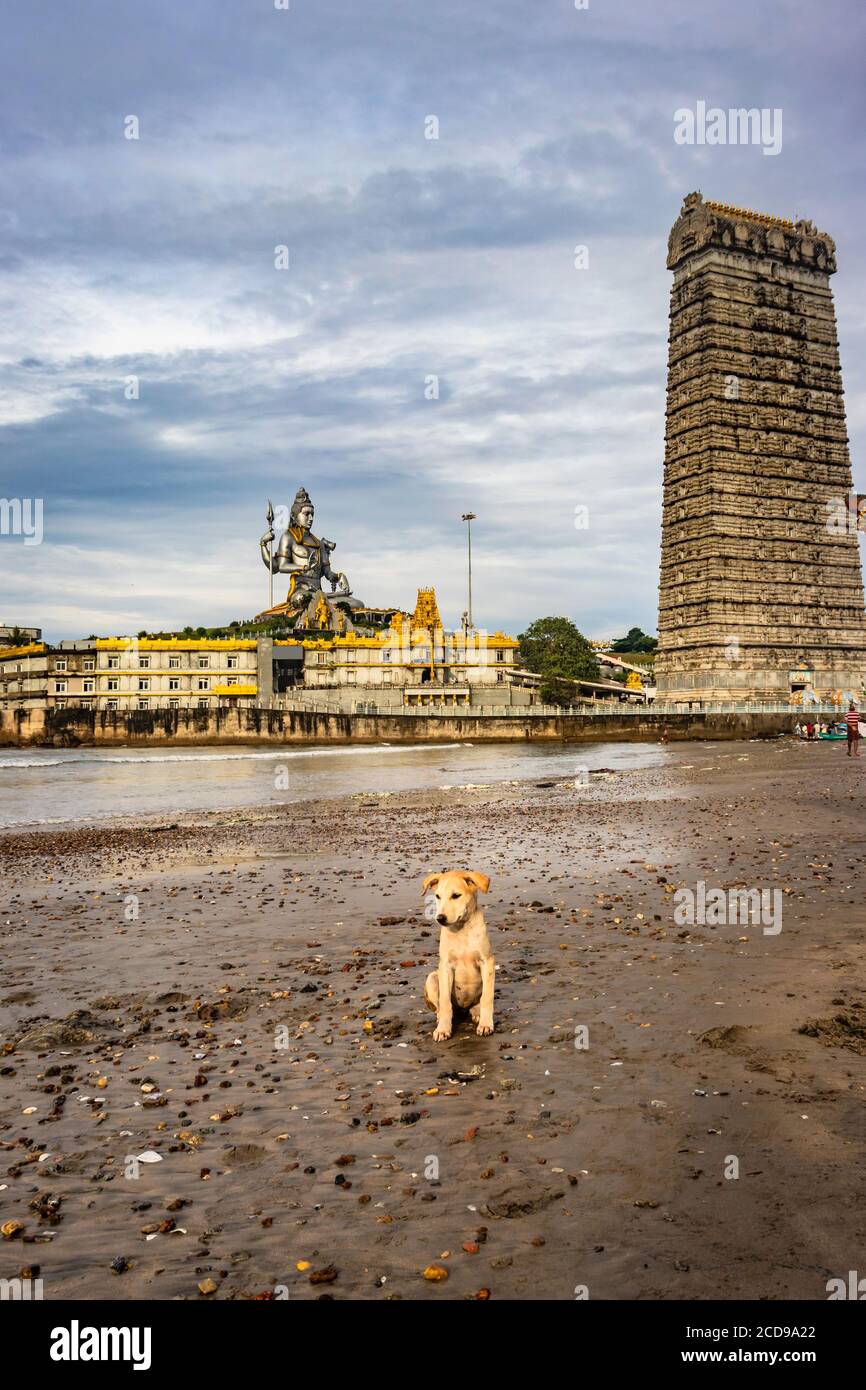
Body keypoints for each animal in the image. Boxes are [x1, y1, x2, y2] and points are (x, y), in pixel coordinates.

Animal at [425, 872, 497, 1039]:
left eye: (456, 895)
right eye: (437, 896)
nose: (440, 918)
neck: (461, 930)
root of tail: (463, 1008)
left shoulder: (487, 962)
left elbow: (487, 998)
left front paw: (486, 1024)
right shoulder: (445, 966)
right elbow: (445, 1002)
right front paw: (443, 1029)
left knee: (477, 1002)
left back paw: (477, 1012)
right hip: (432, 977)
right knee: (440, 1006)